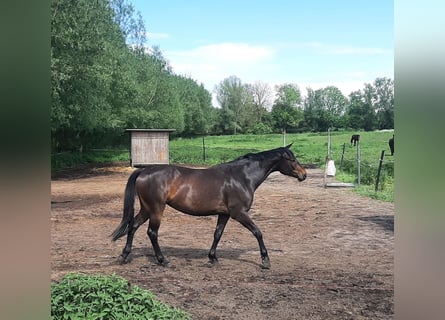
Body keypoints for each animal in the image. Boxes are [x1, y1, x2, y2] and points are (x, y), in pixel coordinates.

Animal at [111, 144, 306, 268]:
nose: (304, 174)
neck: (241, 177)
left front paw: (213, 258)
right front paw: (265, 260)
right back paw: (162, 260)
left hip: (147, 209)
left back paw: (124, 256)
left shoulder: (224, 214)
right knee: (152, 233)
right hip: (156, 209)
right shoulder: (239, 213)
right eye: (292, 159)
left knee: (133, 226)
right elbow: (257, 232)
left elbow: (217, 234)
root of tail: (144, 170)